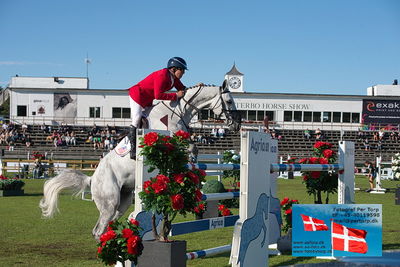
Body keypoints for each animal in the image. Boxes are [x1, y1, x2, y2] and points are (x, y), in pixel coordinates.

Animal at [39, 81, 241, 241]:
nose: (237, 124)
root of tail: (92, 178)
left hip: (123, 201)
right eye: (229, 101)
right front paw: (190, 167)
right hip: (109, 202)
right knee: (98, 230)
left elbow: (193, 148)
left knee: (107, 225)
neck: (176, 112)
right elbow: (190, 149)